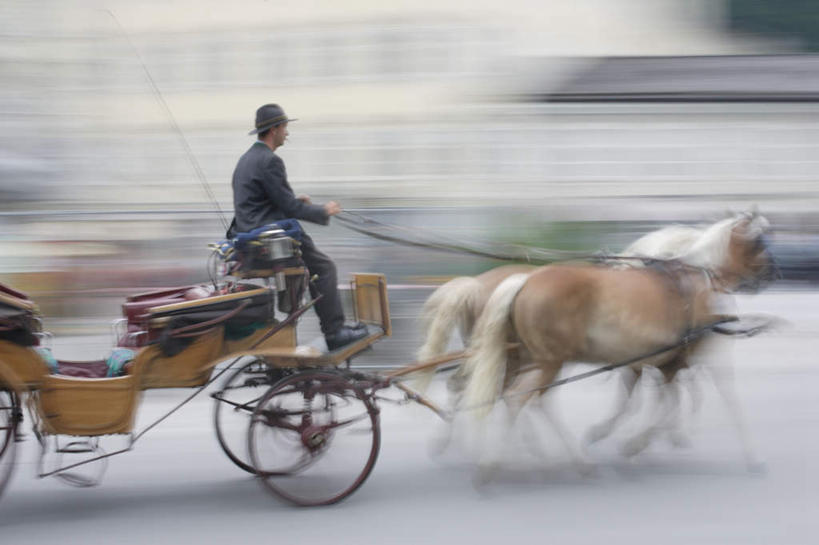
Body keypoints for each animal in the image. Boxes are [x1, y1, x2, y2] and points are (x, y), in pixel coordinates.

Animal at [462, 211, 776, 476]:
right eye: (759, 241)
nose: (771, 272)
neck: (698, 278)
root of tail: (526, 280)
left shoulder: (661, 361)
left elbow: (657, 401)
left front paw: (636, 440)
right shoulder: (703, 355)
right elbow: (724, 398)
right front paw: (753, 456)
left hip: (536, 359)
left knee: (531, 399)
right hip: (549, 361)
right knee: (521, 398)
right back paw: (498, 462)